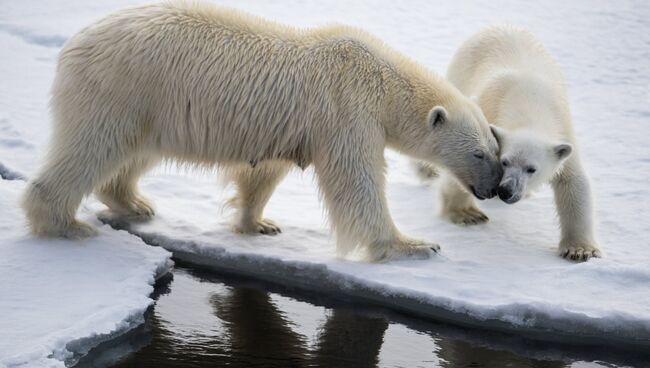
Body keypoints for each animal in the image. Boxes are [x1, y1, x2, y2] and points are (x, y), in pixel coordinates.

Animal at [19, 2, 496, 262]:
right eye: (479, 154)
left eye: (495, 147)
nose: (493, 189)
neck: (382, 78)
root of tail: (72, 43)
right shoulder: (347, 109)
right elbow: (355, 181)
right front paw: (414, 245)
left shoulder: (294, 126)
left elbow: (263, 171)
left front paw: (259, 223)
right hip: (121, 87)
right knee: (92, 147)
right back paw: (66, 224)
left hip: (148, 105)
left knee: (132, 153)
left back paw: (135, 203)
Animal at [436, 25, 596, 262]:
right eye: (505, 162)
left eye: (532, 169)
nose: (506, 191)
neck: (529, 103)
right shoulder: (487, 110)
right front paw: (466, 214)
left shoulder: (564, 133)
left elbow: (573, 183)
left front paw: (579, 250)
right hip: (462, 70)